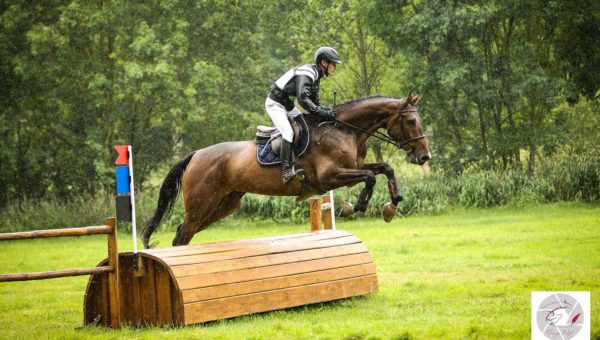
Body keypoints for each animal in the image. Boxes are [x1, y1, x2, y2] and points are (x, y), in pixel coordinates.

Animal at [141, 93, 432, 247]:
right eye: (410, 121)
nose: (424, 156)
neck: (344, 130)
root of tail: (196, 154)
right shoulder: (329, 178)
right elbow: (371, 177)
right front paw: (355, 207)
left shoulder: (353, 168)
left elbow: (385, 168)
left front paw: (392, 205)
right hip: (202, 204)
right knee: (182, 234)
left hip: (224, 204)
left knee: (184, 232)